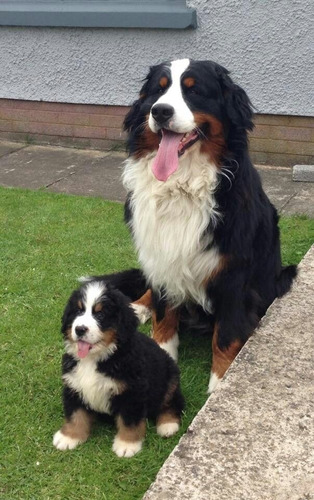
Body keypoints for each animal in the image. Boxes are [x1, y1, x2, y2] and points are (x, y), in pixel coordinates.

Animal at [52, 270, 184, 458]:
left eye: (100, 314)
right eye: (78, 311)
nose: (80, 329)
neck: (95, 358)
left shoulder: (132, 392)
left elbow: (129, 421)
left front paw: (127, 445)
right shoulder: (74, 386)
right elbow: (75, 415)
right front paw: (69, 437)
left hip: (169, 378)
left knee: (171, 402)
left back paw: (168, 425)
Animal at [122, 59, 296, 394]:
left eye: (194, 91)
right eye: (159, 90)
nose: (160, 111)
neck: (183, 186)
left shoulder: (234, 275)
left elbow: (225, 337)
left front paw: (220, 384)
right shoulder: (162, 254)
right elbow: (163, 318)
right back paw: (136, 306)